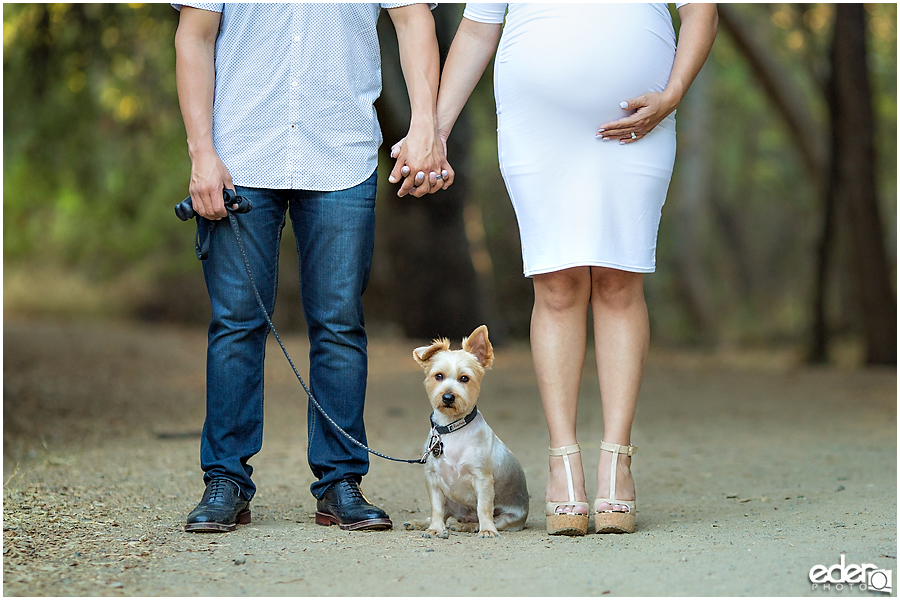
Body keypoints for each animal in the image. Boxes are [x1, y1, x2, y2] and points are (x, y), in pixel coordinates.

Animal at [414, 324, 532, 540]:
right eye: (438, 376)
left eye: (464, 378)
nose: (448, 397)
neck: (452, 429)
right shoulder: (433, 479)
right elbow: (436, 508)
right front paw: (435, 529)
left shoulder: (482, 480)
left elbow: (483, 508)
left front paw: (487, 530)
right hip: (451, 501)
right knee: (445, 513)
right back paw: (423, 523)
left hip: (508, 517)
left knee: (479, 518)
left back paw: (468, 526)